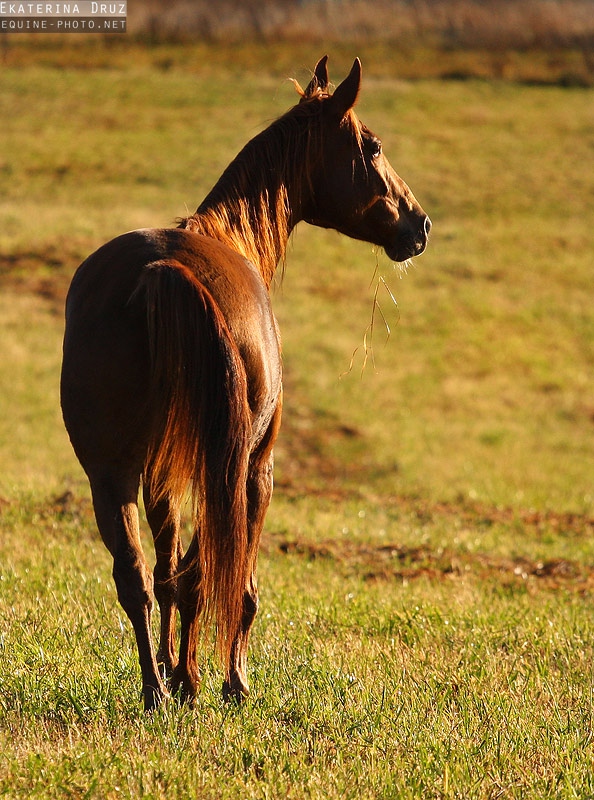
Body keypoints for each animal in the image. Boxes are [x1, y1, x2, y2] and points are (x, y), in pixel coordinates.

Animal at [61, 56, 430, 708]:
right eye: (373, 146)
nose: (420, 225)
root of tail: (162, 270)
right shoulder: (259, 466)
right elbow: (233, 582)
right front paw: (221, 678)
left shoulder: (160, 474)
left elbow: (165, 572)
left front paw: (172, 670)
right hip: (232, 467)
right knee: (206, 573)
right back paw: (200, 683)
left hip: (111, 474)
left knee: (136, 576)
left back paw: (155, 688)